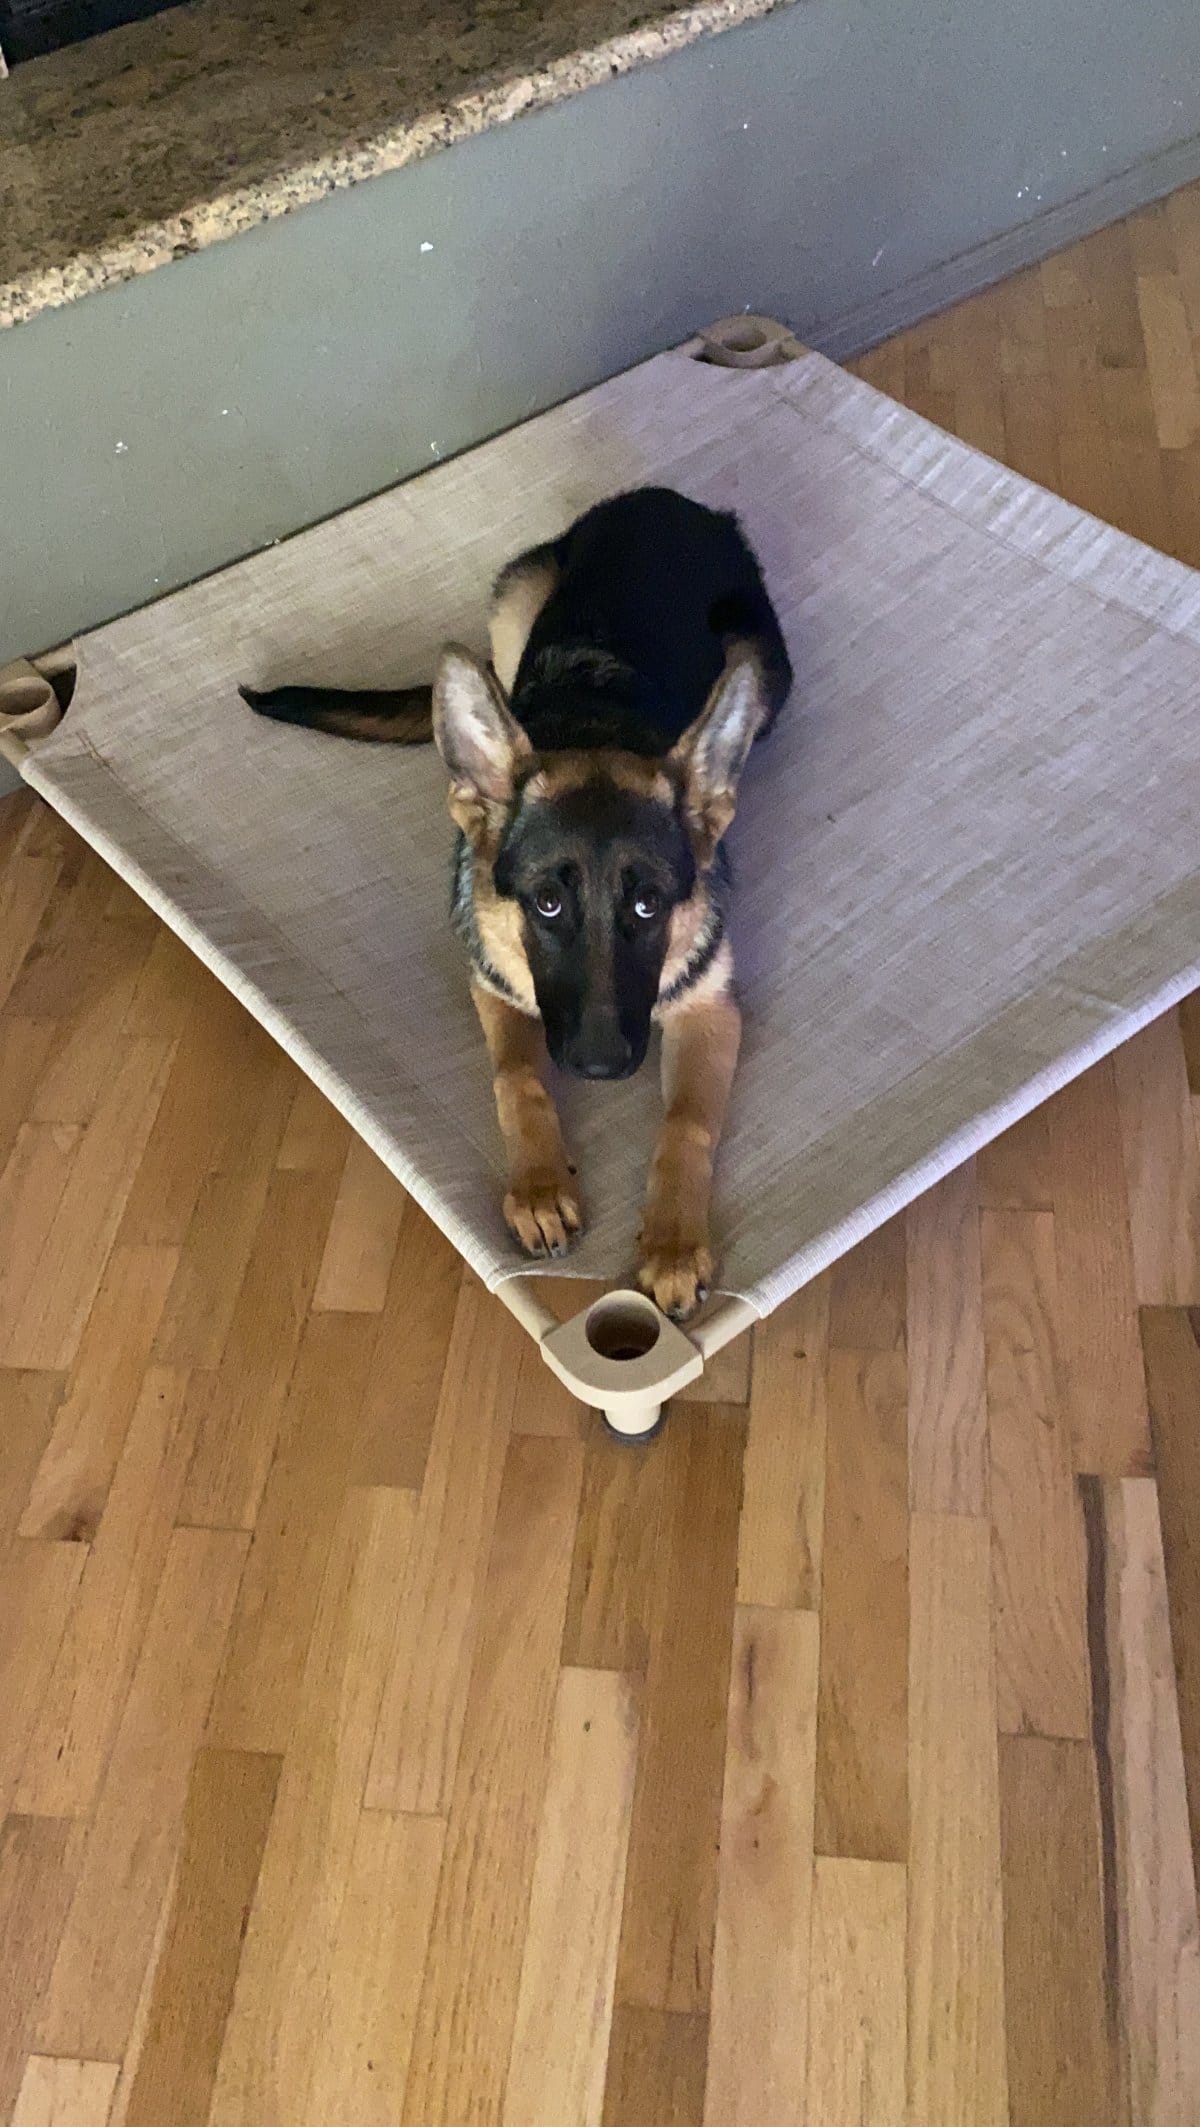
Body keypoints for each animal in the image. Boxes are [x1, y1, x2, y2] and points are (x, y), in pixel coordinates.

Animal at [240, 487, 791, 1310]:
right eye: (547, 905)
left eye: (649, 906)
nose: (599, 1067)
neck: (595, 724)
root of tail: (671, 499)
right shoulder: (493, 985)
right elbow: (518, 1076)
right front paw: (537, 1187)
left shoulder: (709, 1010)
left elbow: (686, 1123)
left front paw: (671, 1240)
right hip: (514, 600)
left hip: (765, 668)